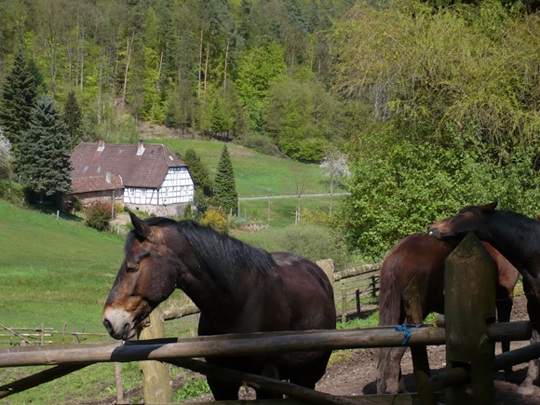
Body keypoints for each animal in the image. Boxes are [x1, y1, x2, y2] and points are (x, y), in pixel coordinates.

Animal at [103, 210, 336, 400]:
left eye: (132, 267)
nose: (108, 321)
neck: (238, 305)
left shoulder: (268, 382)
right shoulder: (220, 382)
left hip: (308, 375)